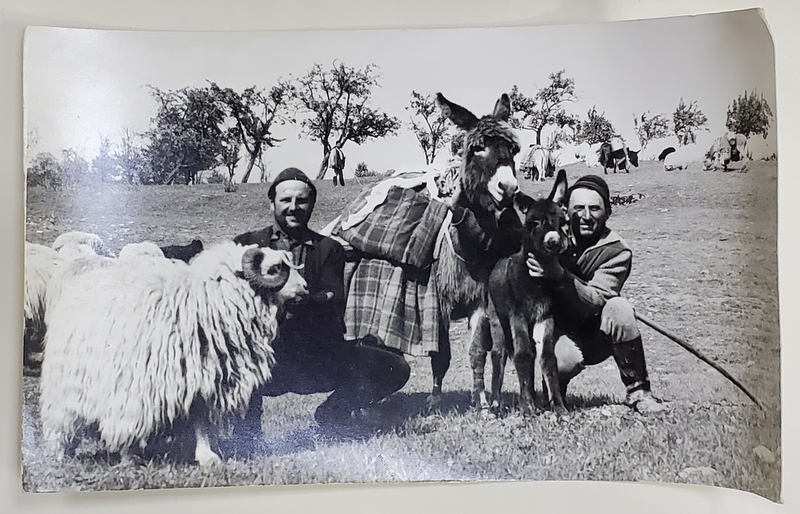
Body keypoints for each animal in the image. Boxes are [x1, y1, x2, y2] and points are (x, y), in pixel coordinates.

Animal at [39, 240, 310, 464]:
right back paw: (59, 453)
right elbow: (129, 420)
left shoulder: (202, 378)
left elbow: (200, 420)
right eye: (275, 268)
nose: (305, 289)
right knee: (61, 419)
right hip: (67, 383)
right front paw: (128, 457)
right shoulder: (134, 385)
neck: (204, 304)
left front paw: (206, 456)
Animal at [488, 170, 568, 414]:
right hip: (497, 320)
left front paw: (558, 407)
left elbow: (547, 357)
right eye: (534, 222)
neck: (537, 283)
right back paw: (496, 404)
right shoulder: (518, 316)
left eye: (562, 221)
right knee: (499, 355)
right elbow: (523, 355)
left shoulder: (545, 316)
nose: (554, 242)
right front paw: (527, 407)